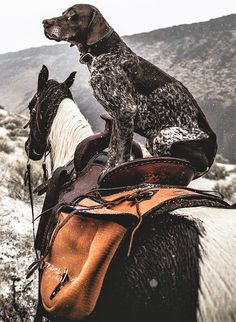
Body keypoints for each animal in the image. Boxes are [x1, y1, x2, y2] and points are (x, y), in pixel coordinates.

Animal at [42, 4, 218, 176]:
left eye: (71, 15)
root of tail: (212, 152)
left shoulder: (126, 111)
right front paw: (106, 172)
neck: (104, 51)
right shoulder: (116, 117)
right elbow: (113, 149)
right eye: (63, 12)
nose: (44, 22)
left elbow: (123, 154)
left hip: (163, 135)